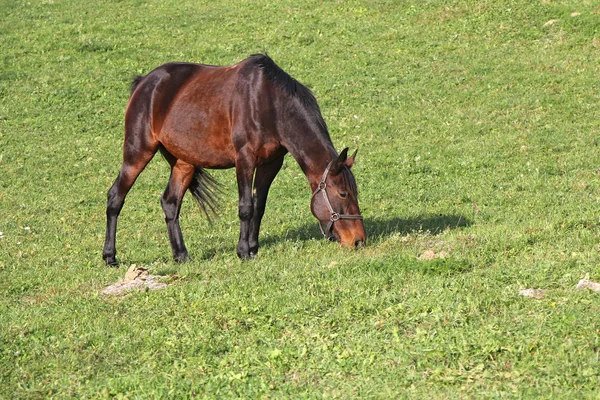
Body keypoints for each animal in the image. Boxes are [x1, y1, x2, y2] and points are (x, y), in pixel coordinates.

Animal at [102, 54, 366, 266]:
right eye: (343, 193)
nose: (359, 240)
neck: (269, 102)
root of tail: (144, 83)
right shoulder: (244, 159)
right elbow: (246, 207)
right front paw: (243, 251)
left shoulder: (271, 164)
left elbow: (259, 206)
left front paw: (253, 248)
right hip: (137, 152)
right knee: (116, 197)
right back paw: (109, 256)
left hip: (183, 163)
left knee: (170, 203)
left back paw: (181, 255)